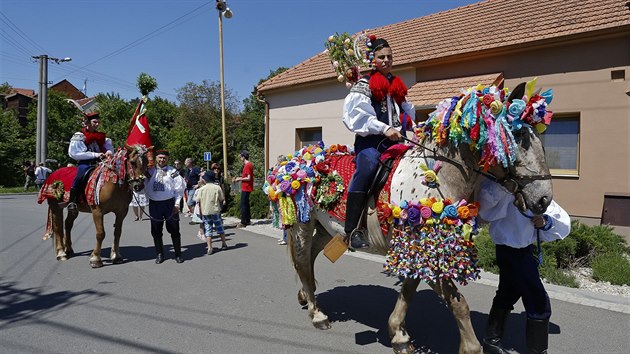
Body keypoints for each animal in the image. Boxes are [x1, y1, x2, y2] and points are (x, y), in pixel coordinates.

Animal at [284, 83, 556, 352]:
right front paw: (470, 347)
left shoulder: (419, 248)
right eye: (519, 137)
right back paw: (317, 314)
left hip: (325, 227)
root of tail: (299, 161)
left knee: (309, 258)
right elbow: (458, 303)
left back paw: (305, 296)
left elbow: (409, 290)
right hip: (302, 225)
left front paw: (399, 335)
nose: (544, 199)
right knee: (302, 262)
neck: (436, 175)